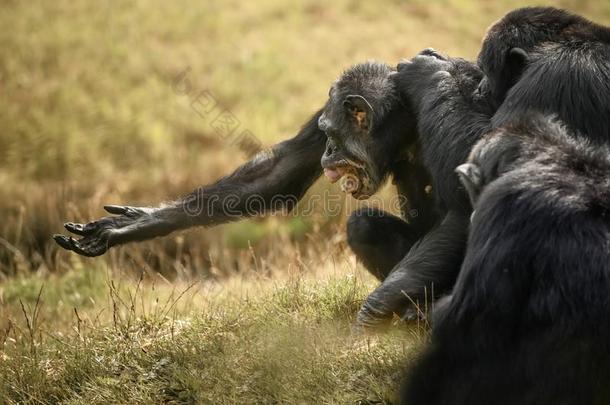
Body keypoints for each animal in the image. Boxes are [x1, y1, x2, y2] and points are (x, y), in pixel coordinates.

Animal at [53, 6, 608, 326]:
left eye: (337, 140)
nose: (327, 155)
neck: (401, 120)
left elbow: (467, 197)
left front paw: (379, 305)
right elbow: (278, 174)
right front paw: (133, 224)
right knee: (362, 224)